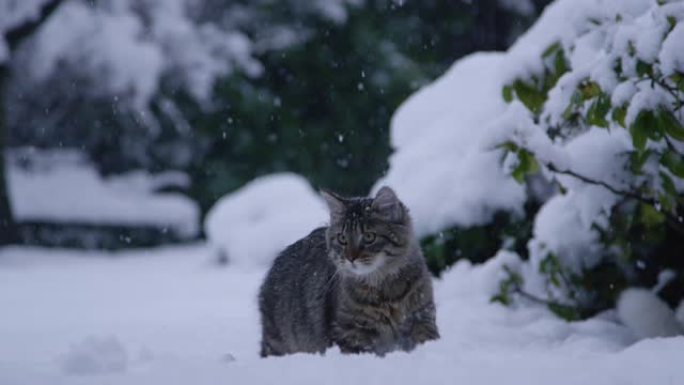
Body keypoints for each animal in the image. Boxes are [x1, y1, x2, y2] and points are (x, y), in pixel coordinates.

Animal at [256, 184, 438, 356]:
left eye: (369, 237)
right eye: (342, 238)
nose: (351, 257)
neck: (386, 290)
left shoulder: (422, 316)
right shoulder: (351, 333)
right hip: (278, 342)